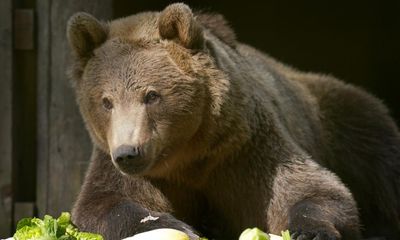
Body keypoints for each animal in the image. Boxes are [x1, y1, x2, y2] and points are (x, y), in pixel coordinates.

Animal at [66, 2, 400, 240]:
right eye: (106, 101)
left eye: (151, 95)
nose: (128, 153)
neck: (188, 154)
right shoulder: (131, 166)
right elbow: (106, 203)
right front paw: (181, 229)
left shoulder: (245, 149)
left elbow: (309, 187)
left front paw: (310, 231)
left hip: (342, 120)